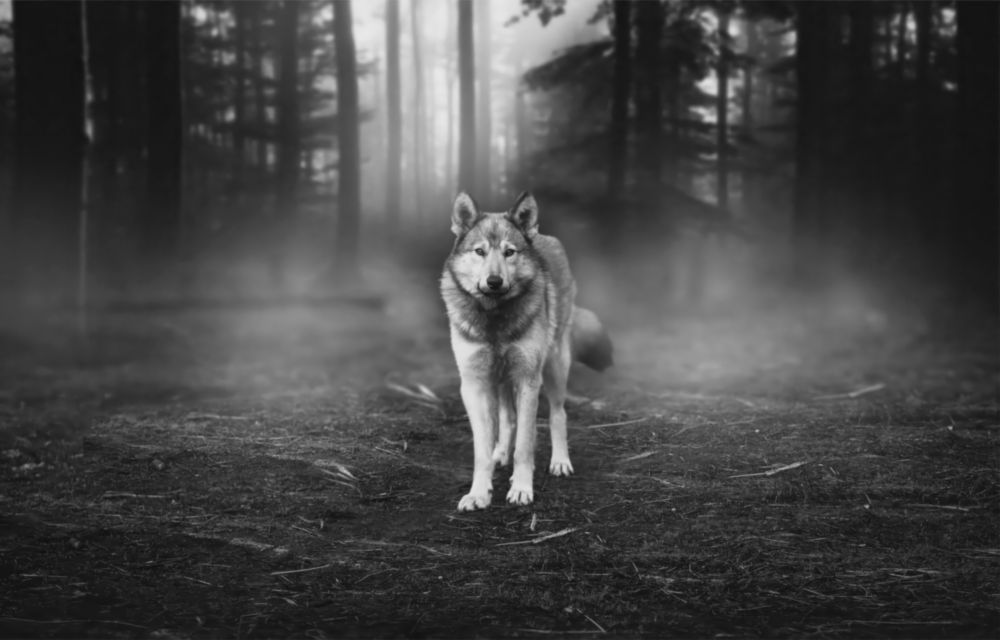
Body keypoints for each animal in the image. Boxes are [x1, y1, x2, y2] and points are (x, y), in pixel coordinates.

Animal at [440, 191, 613, 511]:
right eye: (480, 251)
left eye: (509, 252)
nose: (494, 281)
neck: (495, 318)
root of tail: (545, 236)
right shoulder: (473, 385)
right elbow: (482, 450)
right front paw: (478, 493)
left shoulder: (528, 379)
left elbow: (525, 444)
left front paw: (521, 489)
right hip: (500, 379)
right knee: (507, 420)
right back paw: (500, 455)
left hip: (554, 369)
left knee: (558, 415)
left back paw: (560, 462)